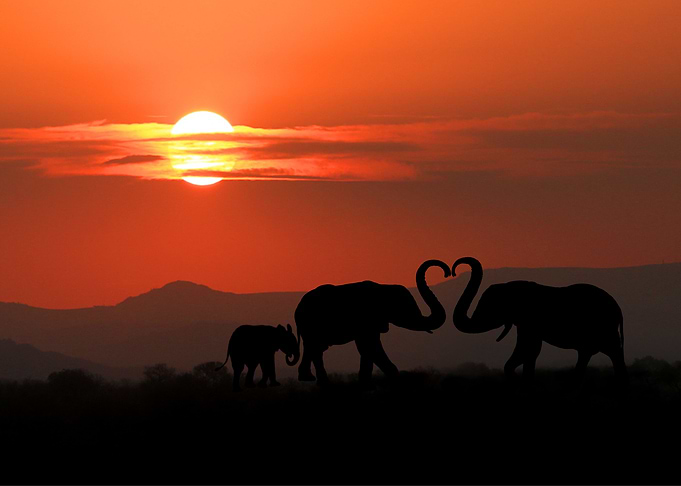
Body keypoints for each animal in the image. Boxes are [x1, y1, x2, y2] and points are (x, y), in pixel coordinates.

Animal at [294, 259, 451, 386]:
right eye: (404, 307)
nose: (447, 272)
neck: (384, 287)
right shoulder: (367, 319)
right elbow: (369, 347)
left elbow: (367, 349)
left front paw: (366, 384)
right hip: (310, 324)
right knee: (315, 348)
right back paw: (318, 382)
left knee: (316, 348)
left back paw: (310, 379)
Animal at [451, 256, 627, 387]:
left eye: (490, 307)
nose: (453, 271)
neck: (511, 286)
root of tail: (618, 309)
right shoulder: (524, 322)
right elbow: (530, 351)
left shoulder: (529, 320)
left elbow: (528, 349)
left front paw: (524, 382)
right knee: (587, 354)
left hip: (604, 328)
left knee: (612, 352)